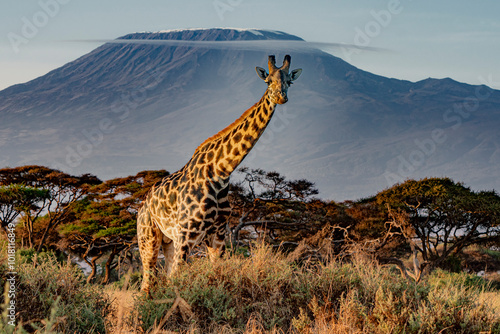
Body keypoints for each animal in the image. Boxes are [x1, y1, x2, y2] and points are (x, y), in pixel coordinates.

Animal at [136, 54, 300, 292]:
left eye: (289, 81)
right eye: (268, 80)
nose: (281, 97)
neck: (221, 171)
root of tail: (142, 206)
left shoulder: (218, 234)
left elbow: (216, 276)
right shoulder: (187, 234)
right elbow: (178, 280)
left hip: (169, 242)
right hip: (148, 238)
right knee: (146, 284)